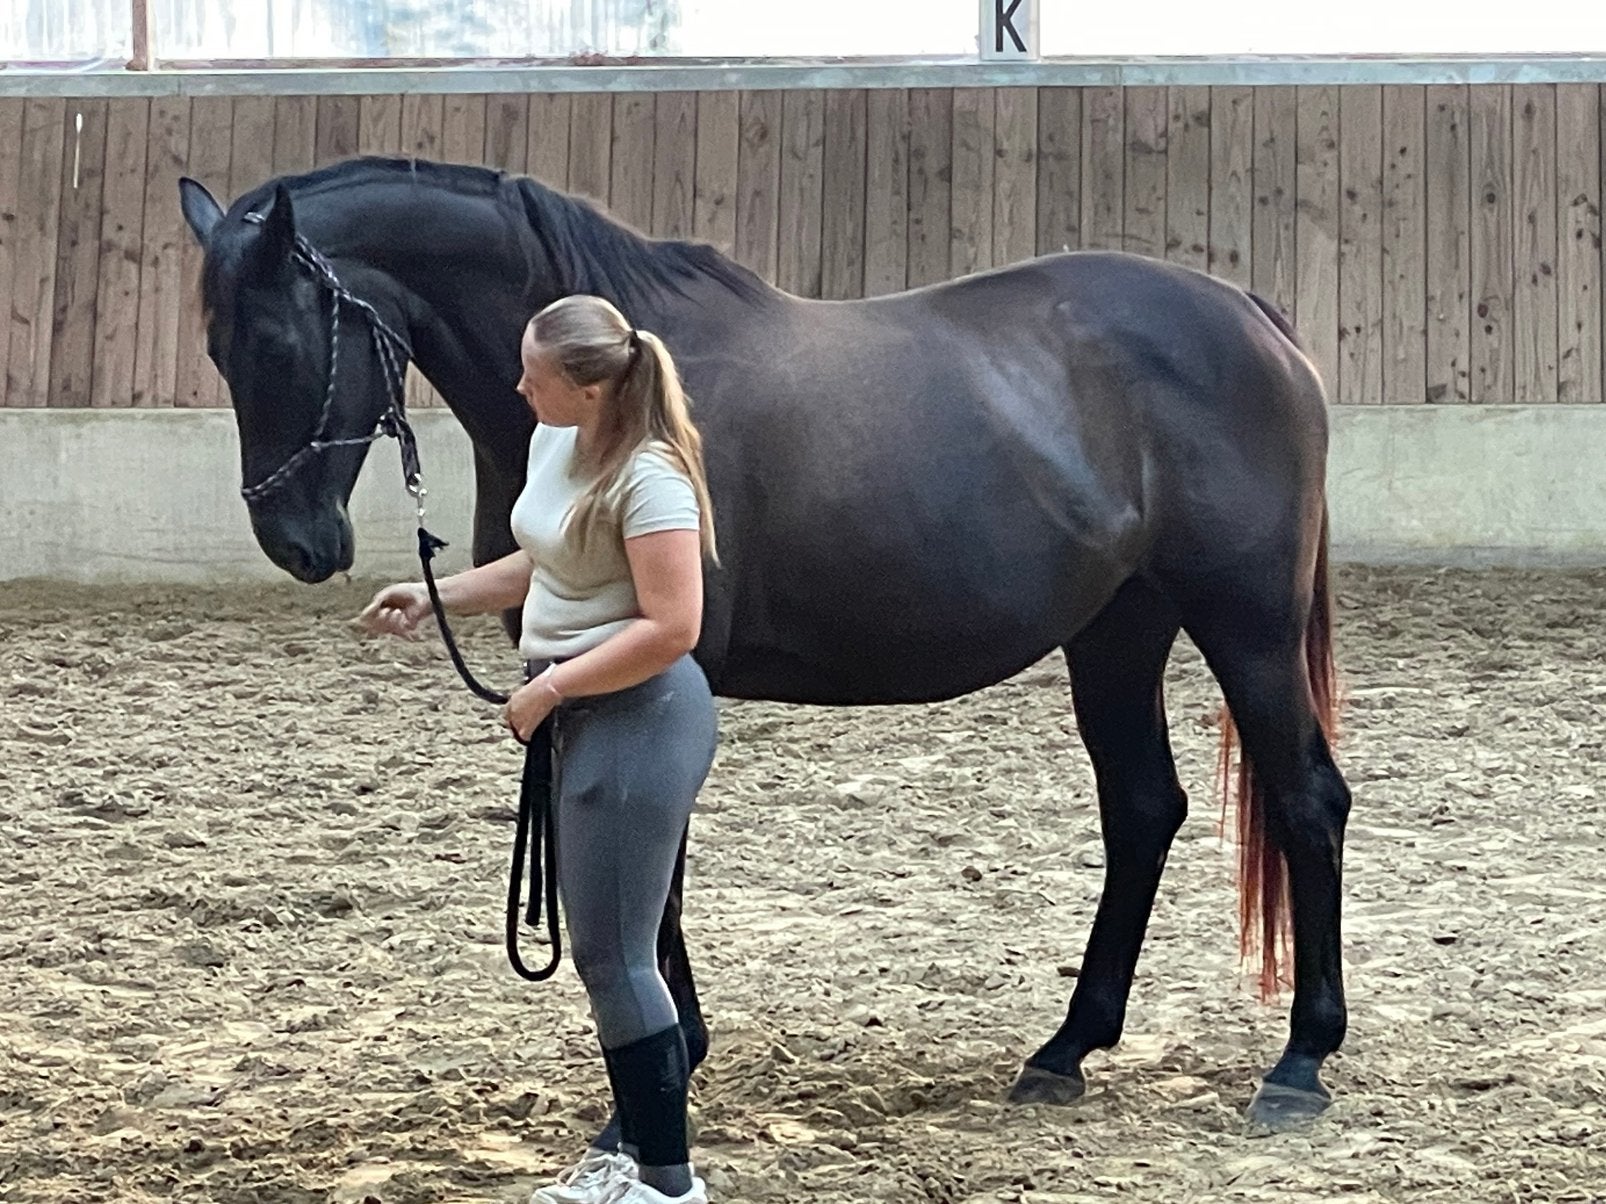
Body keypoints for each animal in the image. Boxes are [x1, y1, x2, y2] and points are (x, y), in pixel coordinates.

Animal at [178, 154, 1351, 1136]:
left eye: (276, 344)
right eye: (217, 352)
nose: (298, 542)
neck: (620, 414)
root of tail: (1251, 318)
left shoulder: (662, 667)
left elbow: (653, 865)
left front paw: (661, 1074)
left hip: (1244, 625)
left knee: (1307, 800)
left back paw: (1299, 1064)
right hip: (1117, 630)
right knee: (1143, 809)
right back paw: (1065, 1050)